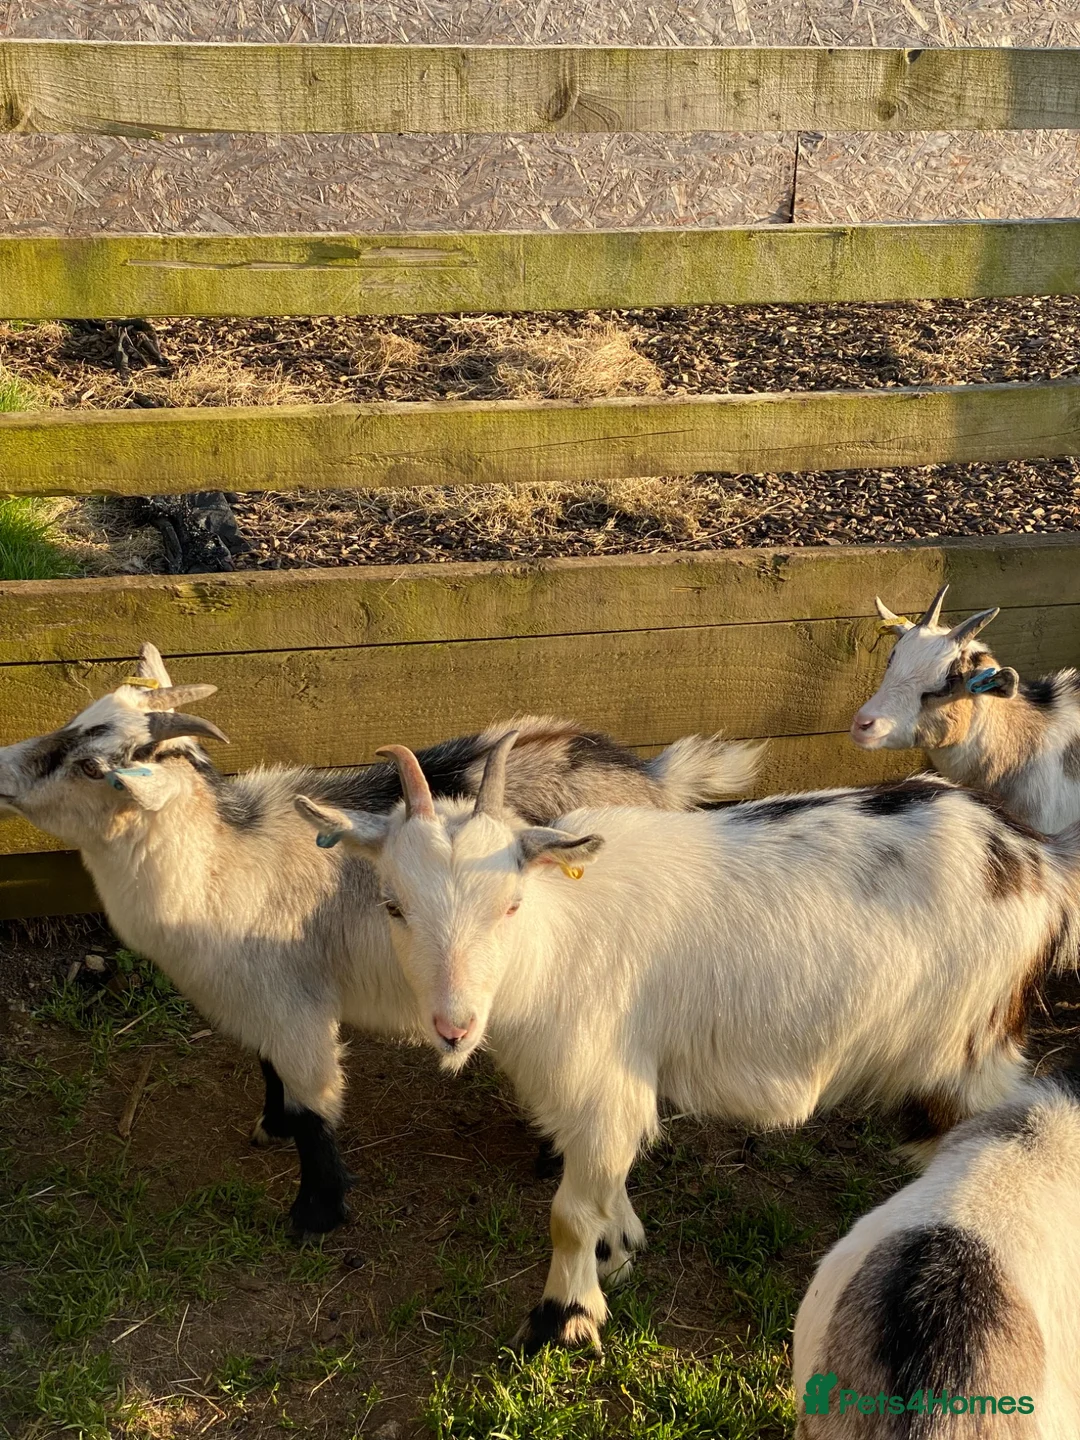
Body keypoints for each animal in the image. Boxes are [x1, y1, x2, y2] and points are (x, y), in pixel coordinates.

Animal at [0, 643, 760, 1236]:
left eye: (94, 765)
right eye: (75, 724)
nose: (4, 766)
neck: (223, 860)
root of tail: (655, 780)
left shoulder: (296, 1010)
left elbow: (315, 1107)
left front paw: (315, 1214)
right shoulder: (268, 1000)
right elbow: (271, 1072)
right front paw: (271, 1126)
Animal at [295, 737, 1080, 1354]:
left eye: (510, 903)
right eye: (394, 904)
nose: (452, 1026)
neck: (557, 931)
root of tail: (1033, 860)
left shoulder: (602, 1077)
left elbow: (568, 1213)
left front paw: (564, 1319)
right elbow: (604, 1179)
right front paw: (619, 1249)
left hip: (969, 1051)